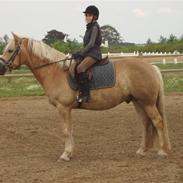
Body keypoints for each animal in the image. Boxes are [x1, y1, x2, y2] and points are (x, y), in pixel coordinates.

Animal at [0, 33, 171, 161]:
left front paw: (65, 154)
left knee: (158, 122)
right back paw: (142, 151)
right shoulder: (67, 109)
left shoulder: (63, 108)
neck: (56, 72)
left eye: (10, 50)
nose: (1, 68)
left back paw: (162, 152)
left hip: (147, 103)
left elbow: (65, 130)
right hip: (138, 102)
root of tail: (151, 66)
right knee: (146, 123)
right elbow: (70, 130)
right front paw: (70, 153)